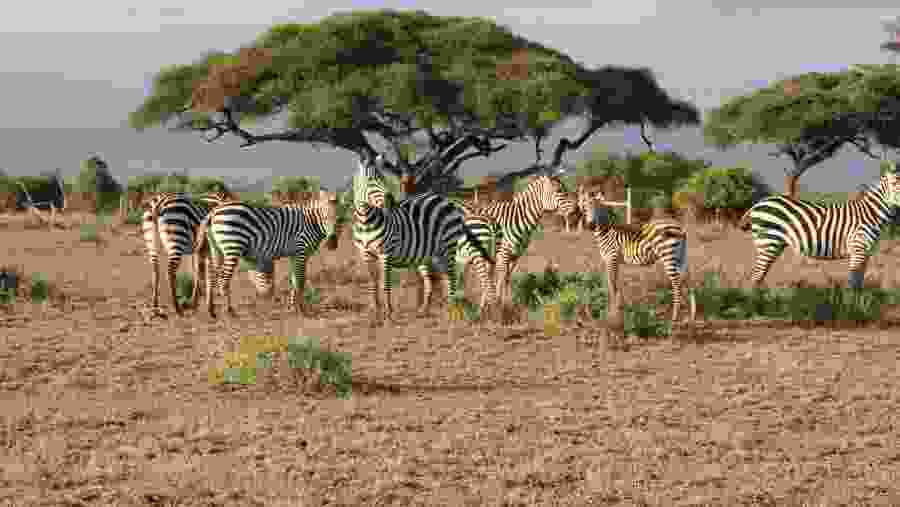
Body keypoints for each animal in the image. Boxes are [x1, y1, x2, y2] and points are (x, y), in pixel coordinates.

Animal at [195, 190, 340, 319]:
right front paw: (301, 309)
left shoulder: (294, 255)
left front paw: (293, 307)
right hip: (232, 246)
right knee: (223, 279)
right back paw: (229, 311)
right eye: (325, 217)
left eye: (339, 219)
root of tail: (214, 212)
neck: (311, 221)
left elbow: (294, 280)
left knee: (211, 276)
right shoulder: (301, 251)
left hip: (216, 248)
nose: (332, 243)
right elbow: (300, 281)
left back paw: (211, 311)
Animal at [352, 154, 497, 322]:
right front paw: (375, 311)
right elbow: (373, 284)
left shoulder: (385, 253)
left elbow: (385, 284)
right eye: (370, 181)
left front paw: (388, 313)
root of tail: (445, 200)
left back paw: (460, 311)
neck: (365, 223)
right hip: (433, 253)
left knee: (460, 278)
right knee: (436, 281)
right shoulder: (366, 254)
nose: (391, 201)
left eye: (383, 178)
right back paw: (427, 310)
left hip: (452, 247)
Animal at [457, 170, 575, 306]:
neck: (517, 218)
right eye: (559, 191)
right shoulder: (502, 254)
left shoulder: (515, 255)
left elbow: (507, 278)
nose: (576, 210)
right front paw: (500, 304)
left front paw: (507, 303)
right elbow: (501, 278)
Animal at [577, 185, 689, 321]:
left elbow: (612, 286)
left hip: (668, 255)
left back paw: (675, 316)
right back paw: (692, 314)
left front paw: (612, 313)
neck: (606, 231)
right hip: (680, 256)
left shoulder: (611, 259)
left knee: (676, 284)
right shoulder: (614, 262)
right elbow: (615, 285)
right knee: (686, 279)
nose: (591, 225)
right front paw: (618, 309)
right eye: (584, 206)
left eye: (597, 207)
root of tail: (680, 227)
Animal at [738, 170, 900, 289]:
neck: (871, 214)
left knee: (759, 275)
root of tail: (758, 203)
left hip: (774, 244)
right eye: (894, 184)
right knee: (756, 276)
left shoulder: (866, 252)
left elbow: (859, 283)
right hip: (767, 241)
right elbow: (853, 283)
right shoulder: (858, 249)